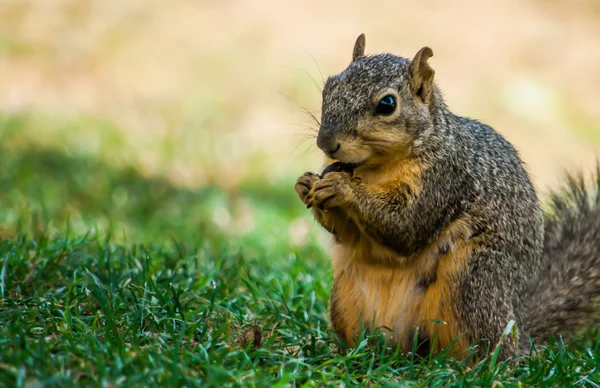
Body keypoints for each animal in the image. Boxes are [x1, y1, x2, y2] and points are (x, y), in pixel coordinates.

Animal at [294, 33, 600, 360]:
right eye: (329, 86)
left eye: (387, 104)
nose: (326, 142)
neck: (374, 169)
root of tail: (520, 337)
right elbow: (348, 235)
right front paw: (305, 183)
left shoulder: (444, 179)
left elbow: (405, 226)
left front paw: (342, 188)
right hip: (346, 300)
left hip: (473, 283)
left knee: (487, 351)